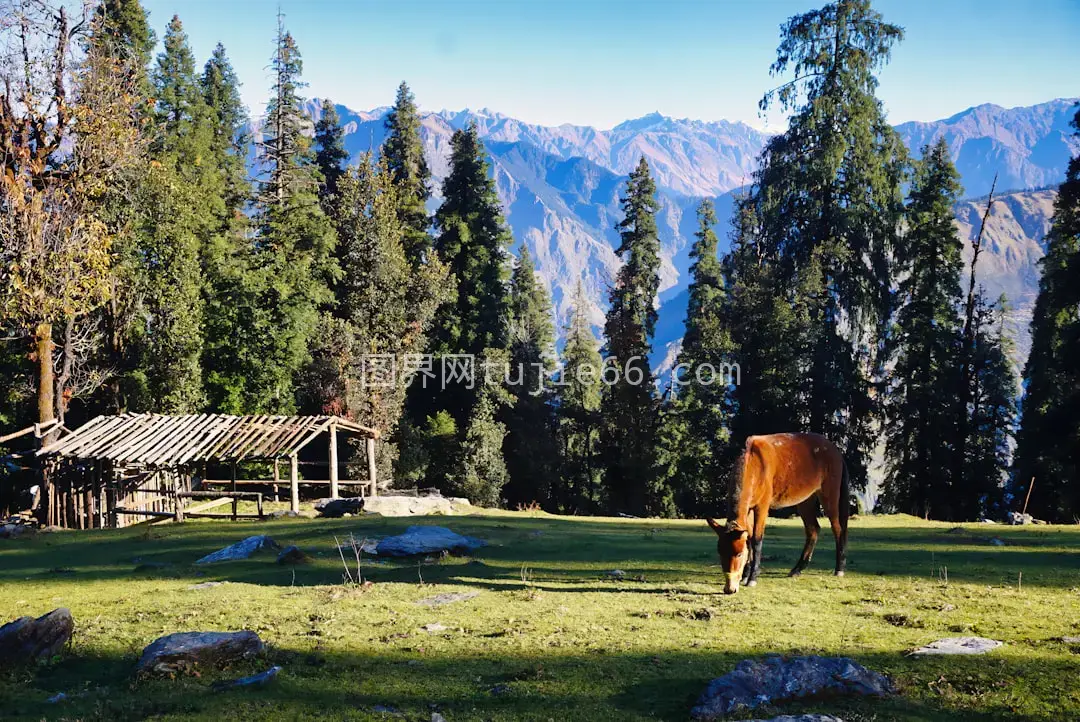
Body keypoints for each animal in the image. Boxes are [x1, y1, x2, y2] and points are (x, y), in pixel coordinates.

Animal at [704, 433, 846, 591]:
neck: (755, 463)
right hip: (806, 501)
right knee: (813, 530)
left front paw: (752, 578)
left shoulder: (762, 507)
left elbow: (756, 539)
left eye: (739, 554)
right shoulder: (749, 509)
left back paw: (839, 569)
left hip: (829, 497)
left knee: (837, 529)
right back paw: (797, 569)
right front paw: (746, 574)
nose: (729, 588)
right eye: (720, 552)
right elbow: (749, 537)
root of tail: (835, 450)